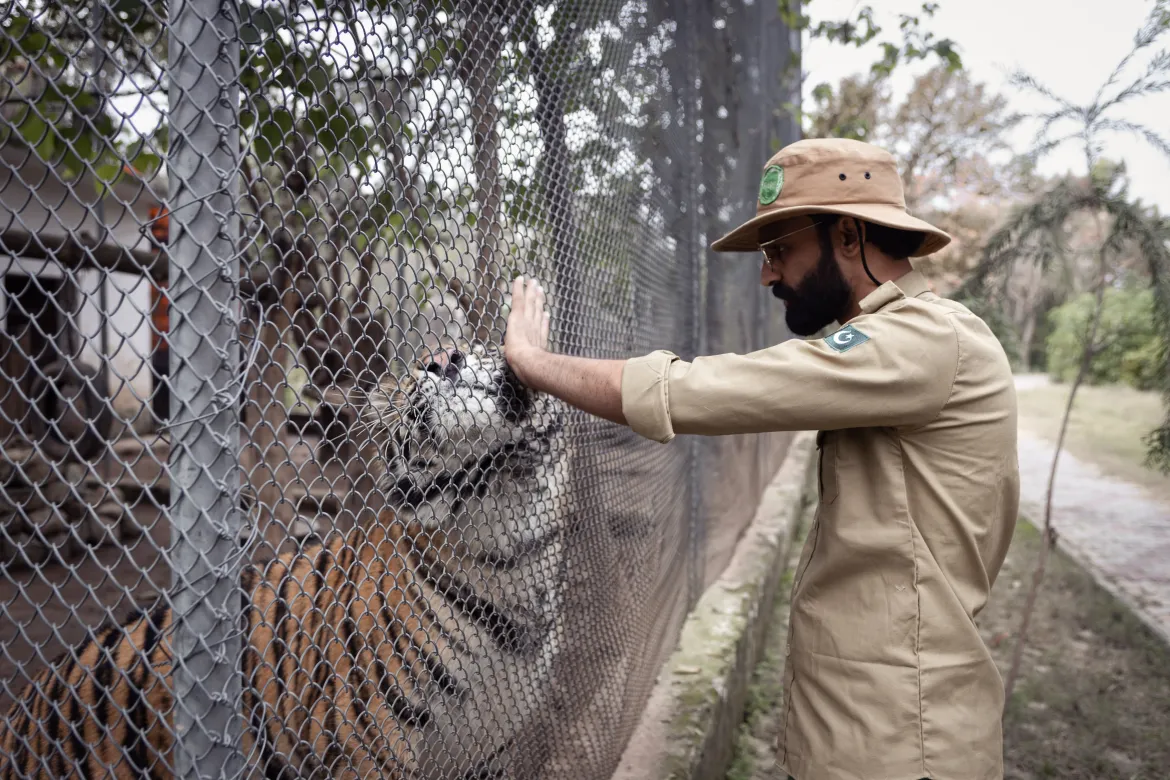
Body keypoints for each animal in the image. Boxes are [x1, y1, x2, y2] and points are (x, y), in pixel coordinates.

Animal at [0, 343, 568, 776]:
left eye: (477, 345)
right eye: (410, 378)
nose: (444, 359)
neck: (511, 551)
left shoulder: (487, 753)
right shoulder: (363, 743)